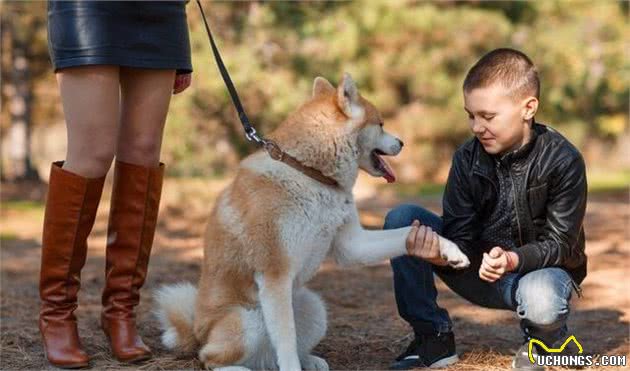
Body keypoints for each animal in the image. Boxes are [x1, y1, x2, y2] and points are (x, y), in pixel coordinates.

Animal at [154, 73, 470, 371]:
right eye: (381, 124)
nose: (402, 142)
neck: (309, 173)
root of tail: (197, 332)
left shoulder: (352, 245)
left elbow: (408, 235)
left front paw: (448, 250)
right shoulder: (275, 274)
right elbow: (285, 340)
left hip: (314, 308)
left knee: (273, 355)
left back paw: (309, 360)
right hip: (247, 321)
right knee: (209, 358)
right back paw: (236, 367)